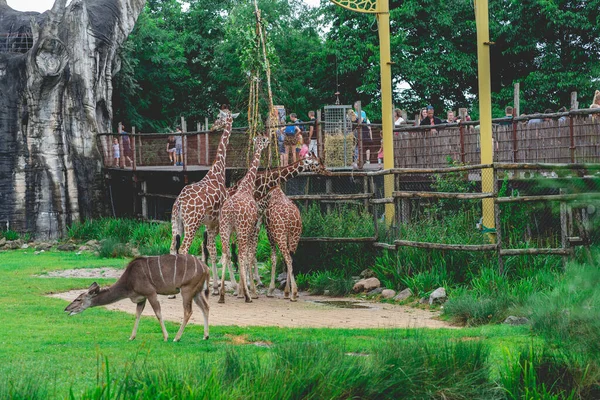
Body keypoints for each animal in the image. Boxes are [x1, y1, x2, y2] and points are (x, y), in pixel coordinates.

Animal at [64, 255, 211, 342]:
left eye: (78, 299)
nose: (66, 309)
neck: (129, 281)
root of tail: (206, 268)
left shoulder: (151, 293)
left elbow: (158, 313)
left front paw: (166, 337)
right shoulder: (141, 298)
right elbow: (137, 315)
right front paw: (131, 337)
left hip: (186, 289)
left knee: (188, 311)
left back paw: (176, 338)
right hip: (197, 292)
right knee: (206, 307)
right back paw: (205, 336)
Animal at [171, 108, 234, 296]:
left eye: (219, 117)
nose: (213, 127)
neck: (217, 171)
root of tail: (180, 202)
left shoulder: (210, 223)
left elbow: (211, 250)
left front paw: (214, 287)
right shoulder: (216, 222)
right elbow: (218, 251)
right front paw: (217, 288)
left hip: (176, 222)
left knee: (173, 247)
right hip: (191, 223)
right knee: (183, 248)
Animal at [218, 135, 270, 304]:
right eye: (264, 140)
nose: (268, 142)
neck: (247, 186)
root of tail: (231, 211)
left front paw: (241, 289)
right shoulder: (252, 227)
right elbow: (248, 256)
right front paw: (249, 291)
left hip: (225, 227)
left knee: (226, 253)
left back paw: (221, 295)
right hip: (242, 228)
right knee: (240, 255)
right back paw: (248, 296)